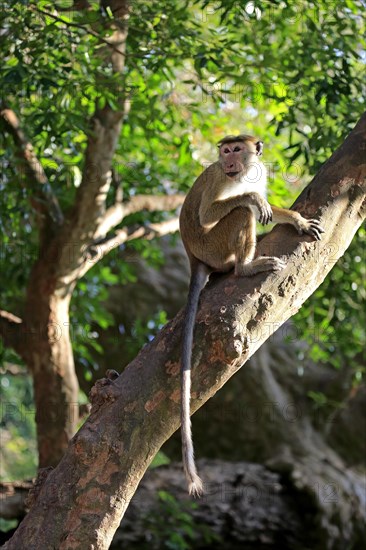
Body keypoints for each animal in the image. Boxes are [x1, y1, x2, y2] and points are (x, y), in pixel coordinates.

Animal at [179, 135, 324, 500]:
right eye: (224, 151)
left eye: (236, 149)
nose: (228, 158)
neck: (241, 174)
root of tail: (194, 257)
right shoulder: (219, 177)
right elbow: (215, 210)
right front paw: (254, 199)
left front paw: (296, 220)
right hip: (213, 246)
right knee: (240, 212)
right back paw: (245, 266)